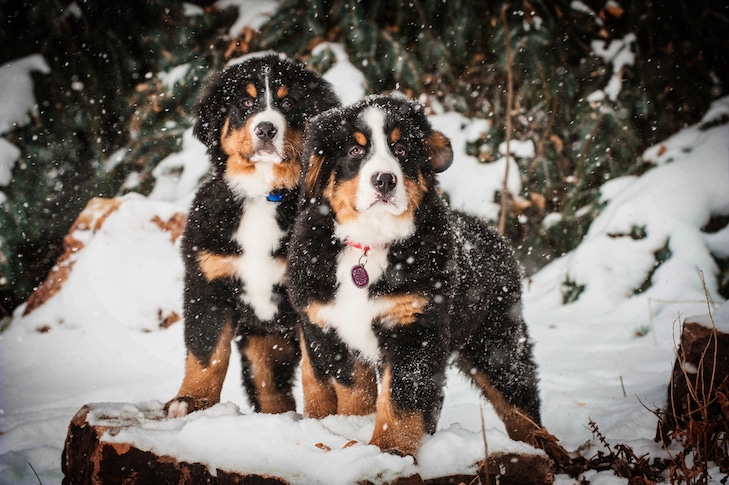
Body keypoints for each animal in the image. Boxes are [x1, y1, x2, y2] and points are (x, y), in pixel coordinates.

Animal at [168, 53, 342, 416]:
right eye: (245, 103)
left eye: (288, 102)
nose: (265, 128)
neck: (264, 194)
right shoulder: (207, 282)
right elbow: (206, 351)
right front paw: (190, 400)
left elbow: (316, 368)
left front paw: (321, 416)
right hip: (262, 347)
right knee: (269, 390)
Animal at [284, 95, 540, 458]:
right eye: (355, 151)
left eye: (401, 149)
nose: (384, 180)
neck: (370, 243)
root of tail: (493, 233)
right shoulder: (331, 328)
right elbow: (354, 390)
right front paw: (357, 431)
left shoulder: (416, 325)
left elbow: (401, 398)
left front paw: (389, 450)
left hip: (497, 340)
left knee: (520, 400)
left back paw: (545, 448)